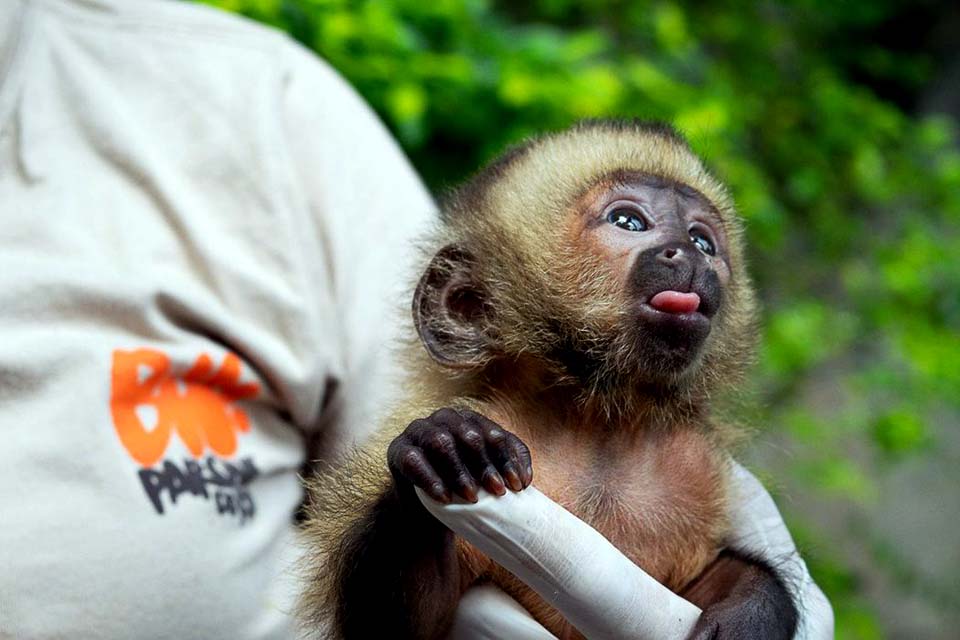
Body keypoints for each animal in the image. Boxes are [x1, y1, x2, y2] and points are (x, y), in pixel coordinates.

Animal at [304, 120, 800, 640]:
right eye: (628, 222)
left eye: (704, 242)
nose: (688, 254)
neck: (596, 423)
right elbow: (404, 627)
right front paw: (446, 449)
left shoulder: (696, 468)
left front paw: (753, 609)